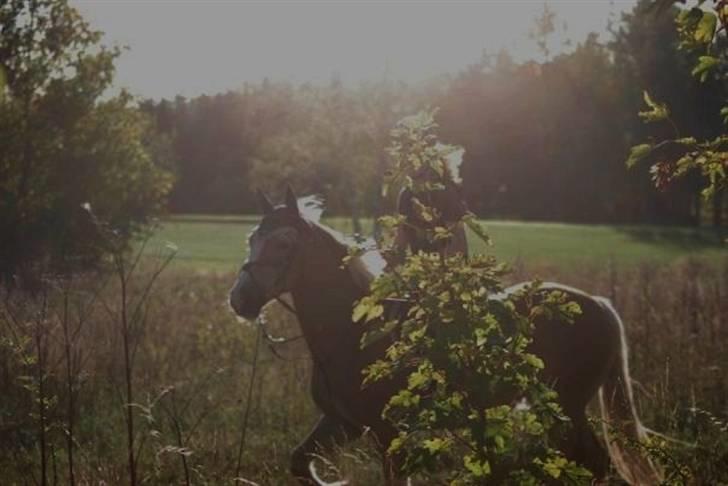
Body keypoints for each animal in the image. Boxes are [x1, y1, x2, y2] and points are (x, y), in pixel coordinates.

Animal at [230, 187, 664, 486]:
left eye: (284, 242)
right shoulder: (342, 423)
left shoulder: (387, 433)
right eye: (252, 238)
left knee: (596, 465)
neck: (352, 331)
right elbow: (299, 463)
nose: (240, 300)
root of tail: (598, 305)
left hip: (565, 410)